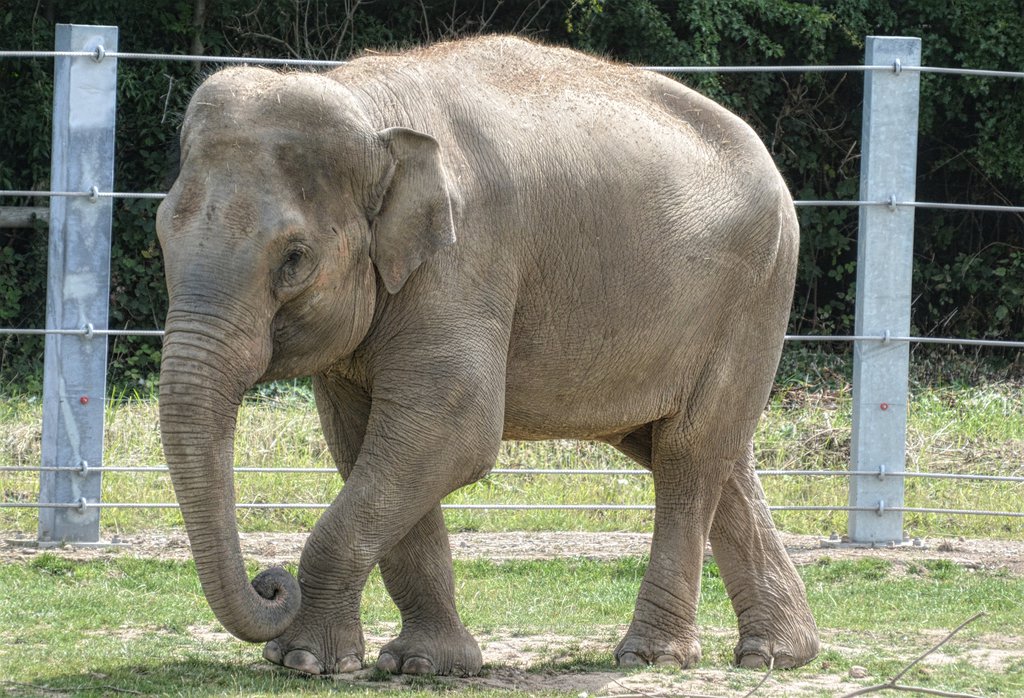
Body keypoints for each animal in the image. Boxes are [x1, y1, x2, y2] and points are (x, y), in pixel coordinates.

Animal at [156, 35, 820, 677]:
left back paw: (654, 657)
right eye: (161, 230)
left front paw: (302, 660)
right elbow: (365, 439)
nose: (271, 585)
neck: (373, 111)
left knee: (689, 453)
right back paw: (777, 655)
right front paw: (424, 665)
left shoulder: (465, 258)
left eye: (294, 258)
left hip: (755, 294)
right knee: (704, 451)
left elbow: (450, 429)